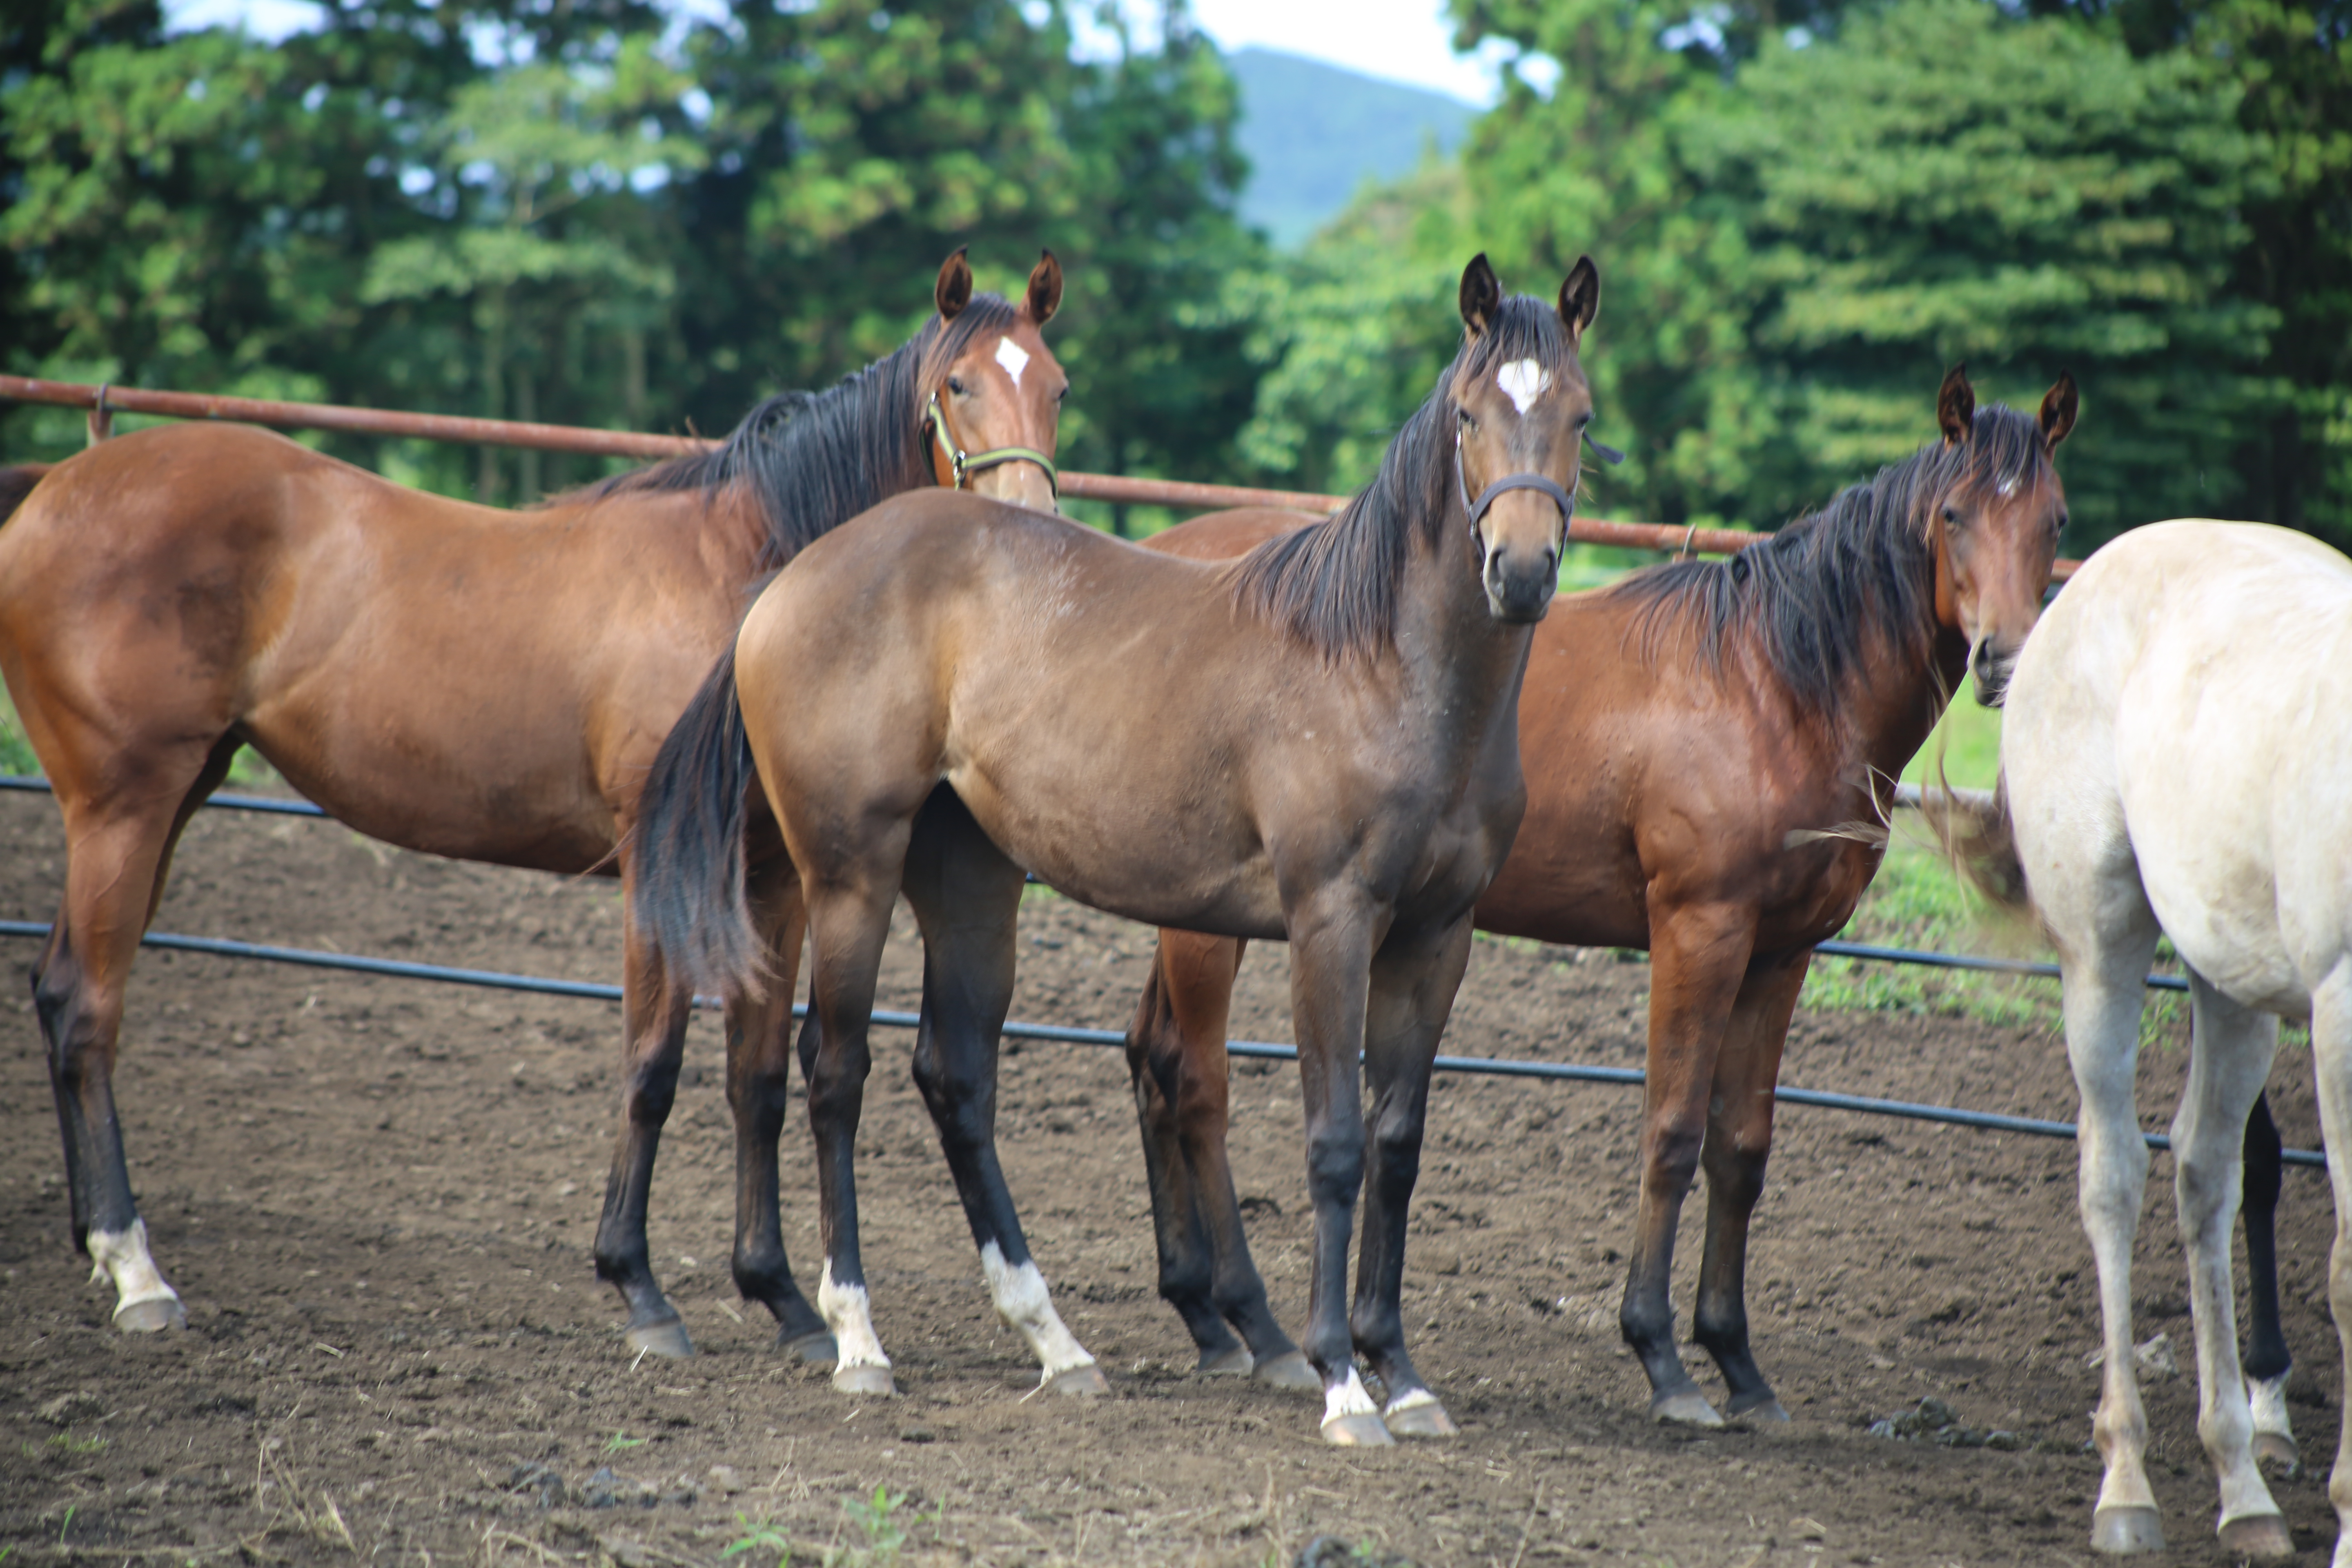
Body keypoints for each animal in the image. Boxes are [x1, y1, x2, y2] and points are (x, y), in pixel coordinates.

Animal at [0, 248, 1068, 1363]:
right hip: (121, 805)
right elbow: (651, 1066)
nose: (1031, 530)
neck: (749, 585)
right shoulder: (655, 862)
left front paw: (781, 1298)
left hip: (170, 799)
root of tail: (53, 489)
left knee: (57, 991)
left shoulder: (773, 879)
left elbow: (757, 1079)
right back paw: (136, 1270)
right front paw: (640, 1290)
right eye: (959, 385)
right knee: (87, 1003)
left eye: (1057, 388)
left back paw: (102, 1250)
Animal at [635, 255, 1608, 1448]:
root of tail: (790, 581)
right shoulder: (1329, 923)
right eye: (1469, 414)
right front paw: (1340, 1382)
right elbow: (1333, 1143)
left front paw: (1403, 1374)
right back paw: (857, 1339)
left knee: (954, 1076)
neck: (1385, 666)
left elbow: (1396, 1143)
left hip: (972, 884)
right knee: (835, 1070)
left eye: (1579, 415)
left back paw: (1054, 1343)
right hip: (849, 876)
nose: (1520, 571)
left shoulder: (1436, 936)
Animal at [1124, 364, 2079, 1420]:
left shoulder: (1782, 954)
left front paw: (1738, 1362)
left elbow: (1741, 1148)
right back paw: (1253, 1322)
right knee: (1196, 1083)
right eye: (1953, 514)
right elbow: (1672, 1131)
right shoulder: (1699, 933)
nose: (2003, 659)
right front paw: (1661, 1355)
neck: (1770, 687)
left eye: (2054, 519)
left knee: (1151, 1057)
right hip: (1210, 926)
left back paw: (1202, 1312)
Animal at [1947, 522, 2352, 1561]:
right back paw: (2125, 1483)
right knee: (2115, 1176)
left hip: (2230, 985)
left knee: (2205, 1177)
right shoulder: (2339, 1018)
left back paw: (2242, 1485)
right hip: (2102, 951)